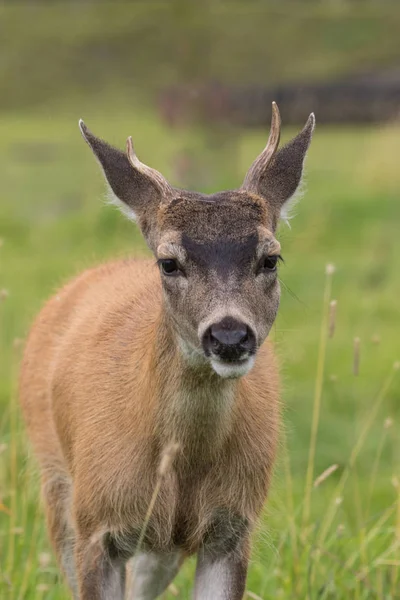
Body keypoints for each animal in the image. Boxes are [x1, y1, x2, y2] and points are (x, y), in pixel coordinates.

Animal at [19, 104, 316, 600]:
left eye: (270, 258)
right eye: (168, 262)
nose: (230, 336)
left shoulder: (232, 528)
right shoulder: (95, 521)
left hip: (163, 544)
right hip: (56, 482)